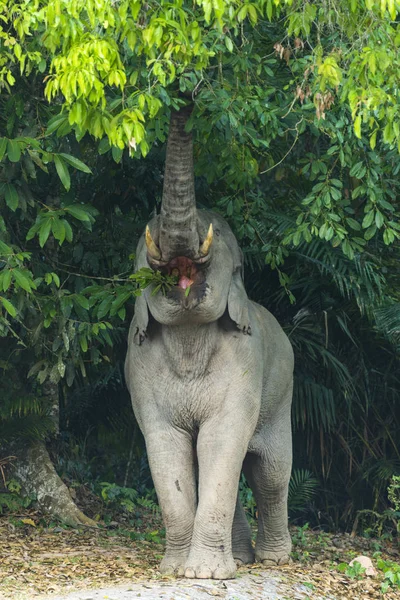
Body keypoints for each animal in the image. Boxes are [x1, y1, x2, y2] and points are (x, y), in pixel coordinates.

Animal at [125, 105, 294, 580]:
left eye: (211, 233)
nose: (184, 98)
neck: (188, 335)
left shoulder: (245, 366)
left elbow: (223, 441)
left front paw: (205, 575)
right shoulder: (138, 370)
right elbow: (167, 448)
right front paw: (175, 570)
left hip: (283, 395)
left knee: (271, 473)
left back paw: (274, 559)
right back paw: (241, 558)